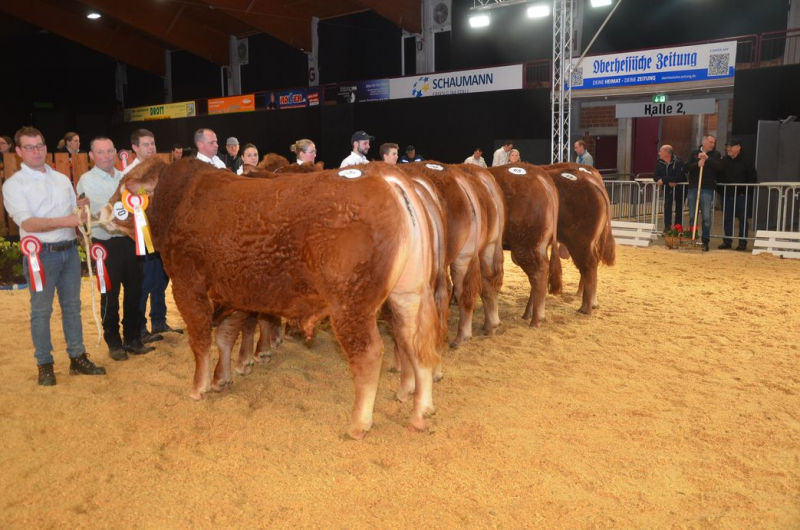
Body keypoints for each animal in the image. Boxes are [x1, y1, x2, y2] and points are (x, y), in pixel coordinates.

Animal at [99, 157, 440, 438]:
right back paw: (419, 412)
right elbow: (225, 336)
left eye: (125, 187)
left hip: (351, 304)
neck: (180, 201)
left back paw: (359, 423)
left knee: (369, 354)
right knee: (414, 343)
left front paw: (199, 387)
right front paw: (223, 378)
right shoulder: (235, 291)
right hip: (406, 295)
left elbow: (200, 340)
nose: (99, 210)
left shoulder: (187, 286)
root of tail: (382, 175)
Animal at [484, 162, 560, 326]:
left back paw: (536, 319)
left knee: (539, 272)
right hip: (538, 245)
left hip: (525, 244)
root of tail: (539, 174)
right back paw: (528, 313)